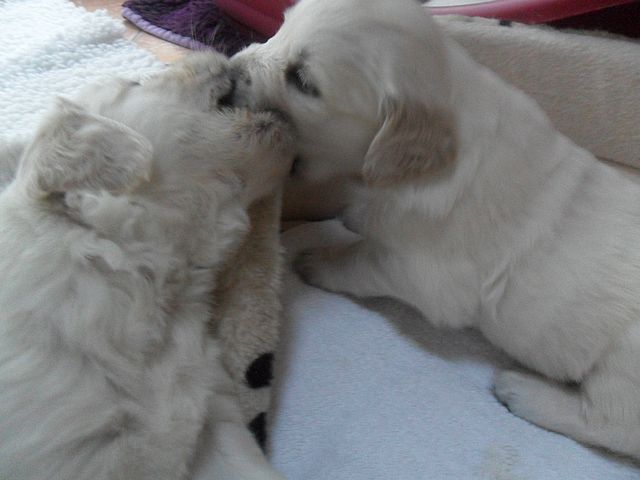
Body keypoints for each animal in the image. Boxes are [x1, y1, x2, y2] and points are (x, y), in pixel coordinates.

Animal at [229, 0, 640, 460]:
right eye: (279, 29)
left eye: (301, 80)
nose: (227, 70)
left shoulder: (423, 276)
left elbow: (361, 263)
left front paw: (318, 261)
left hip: (623, 367)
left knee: (611, 424)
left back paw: (523, 392)